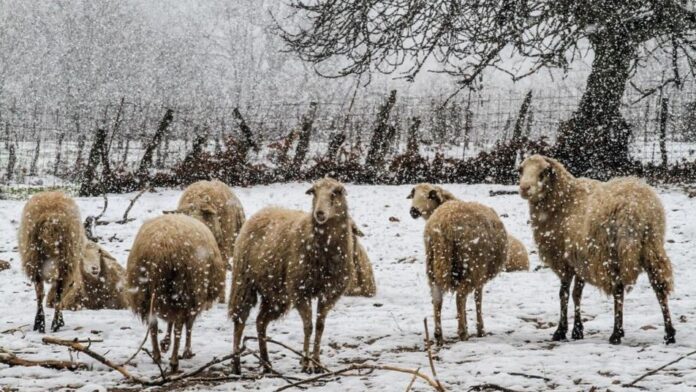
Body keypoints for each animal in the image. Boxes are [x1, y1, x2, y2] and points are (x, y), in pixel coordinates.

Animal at [18, 191, 85, 332]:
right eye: (72, 285)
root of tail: (50, 219)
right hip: (66, 261)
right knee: (57, 294)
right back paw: (55, 323)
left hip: (33, 258)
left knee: (39, 293)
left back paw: (40, 323)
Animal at [124, 214, 223, 370]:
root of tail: (160, 248)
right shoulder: (195, 299)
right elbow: (188, 325)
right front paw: (187, 351)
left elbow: (170, 320)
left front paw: (165, 342)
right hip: (185, 288)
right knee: (179, 326)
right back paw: (174, 360)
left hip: (145, 292)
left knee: (153, 324)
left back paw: (157, 355)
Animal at [231, 178, 356, 374]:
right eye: (314, 192)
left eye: (335, 193)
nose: (319, 213)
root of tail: (262, 211)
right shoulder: (300, 290)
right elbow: (308, 326)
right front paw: (305, 363)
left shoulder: (329, 293)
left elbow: (320, 327)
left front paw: (317, 362)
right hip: (244, 280)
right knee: (240, 320)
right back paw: (236, 364)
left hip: (275, 293)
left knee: (260, 322)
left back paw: (266, 363)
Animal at [408, 183, 506, 344]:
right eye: (414, 195)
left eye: (429, 195)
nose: (413, 210)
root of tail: (442, 226)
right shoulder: (481, 273)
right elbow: (478, 298)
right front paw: (480, 329)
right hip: (472, 265)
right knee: (460, 296)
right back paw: (462, 332)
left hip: (432, 264)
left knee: (437, 299)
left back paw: (438, 335)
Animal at [520, 155, 676, 344]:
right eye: (521, 170)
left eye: (543, 172)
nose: (524, 188)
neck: (563, 200)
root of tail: (638, 209)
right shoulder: (580, 258)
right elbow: (577, 293)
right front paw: (577, 330)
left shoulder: (565, 260)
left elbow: (564, 293)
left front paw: (561, 331)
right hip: (651, 246)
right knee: (659, 287)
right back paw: (669, 333)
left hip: (614, 251)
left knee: (618, 290)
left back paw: (616, 333)